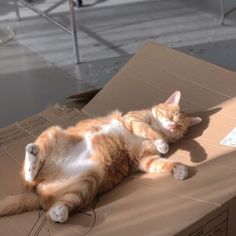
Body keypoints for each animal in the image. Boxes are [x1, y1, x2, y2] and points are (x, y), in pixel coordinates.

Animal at [0, 91, 201, 223]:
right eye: (172, 115)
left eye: (181, 125)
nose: (173, 126)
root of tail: (37, 191)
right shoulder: (134, 120)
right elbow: (150, 131)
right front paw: (162, 142)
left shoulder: (146, 159)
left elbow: (163, 164)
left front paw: (179, 168)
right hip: (52, 132)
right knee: (28, 175)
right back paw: (32, 155)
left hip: (88, 181)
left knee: (54, 211)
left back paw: (59, 213)